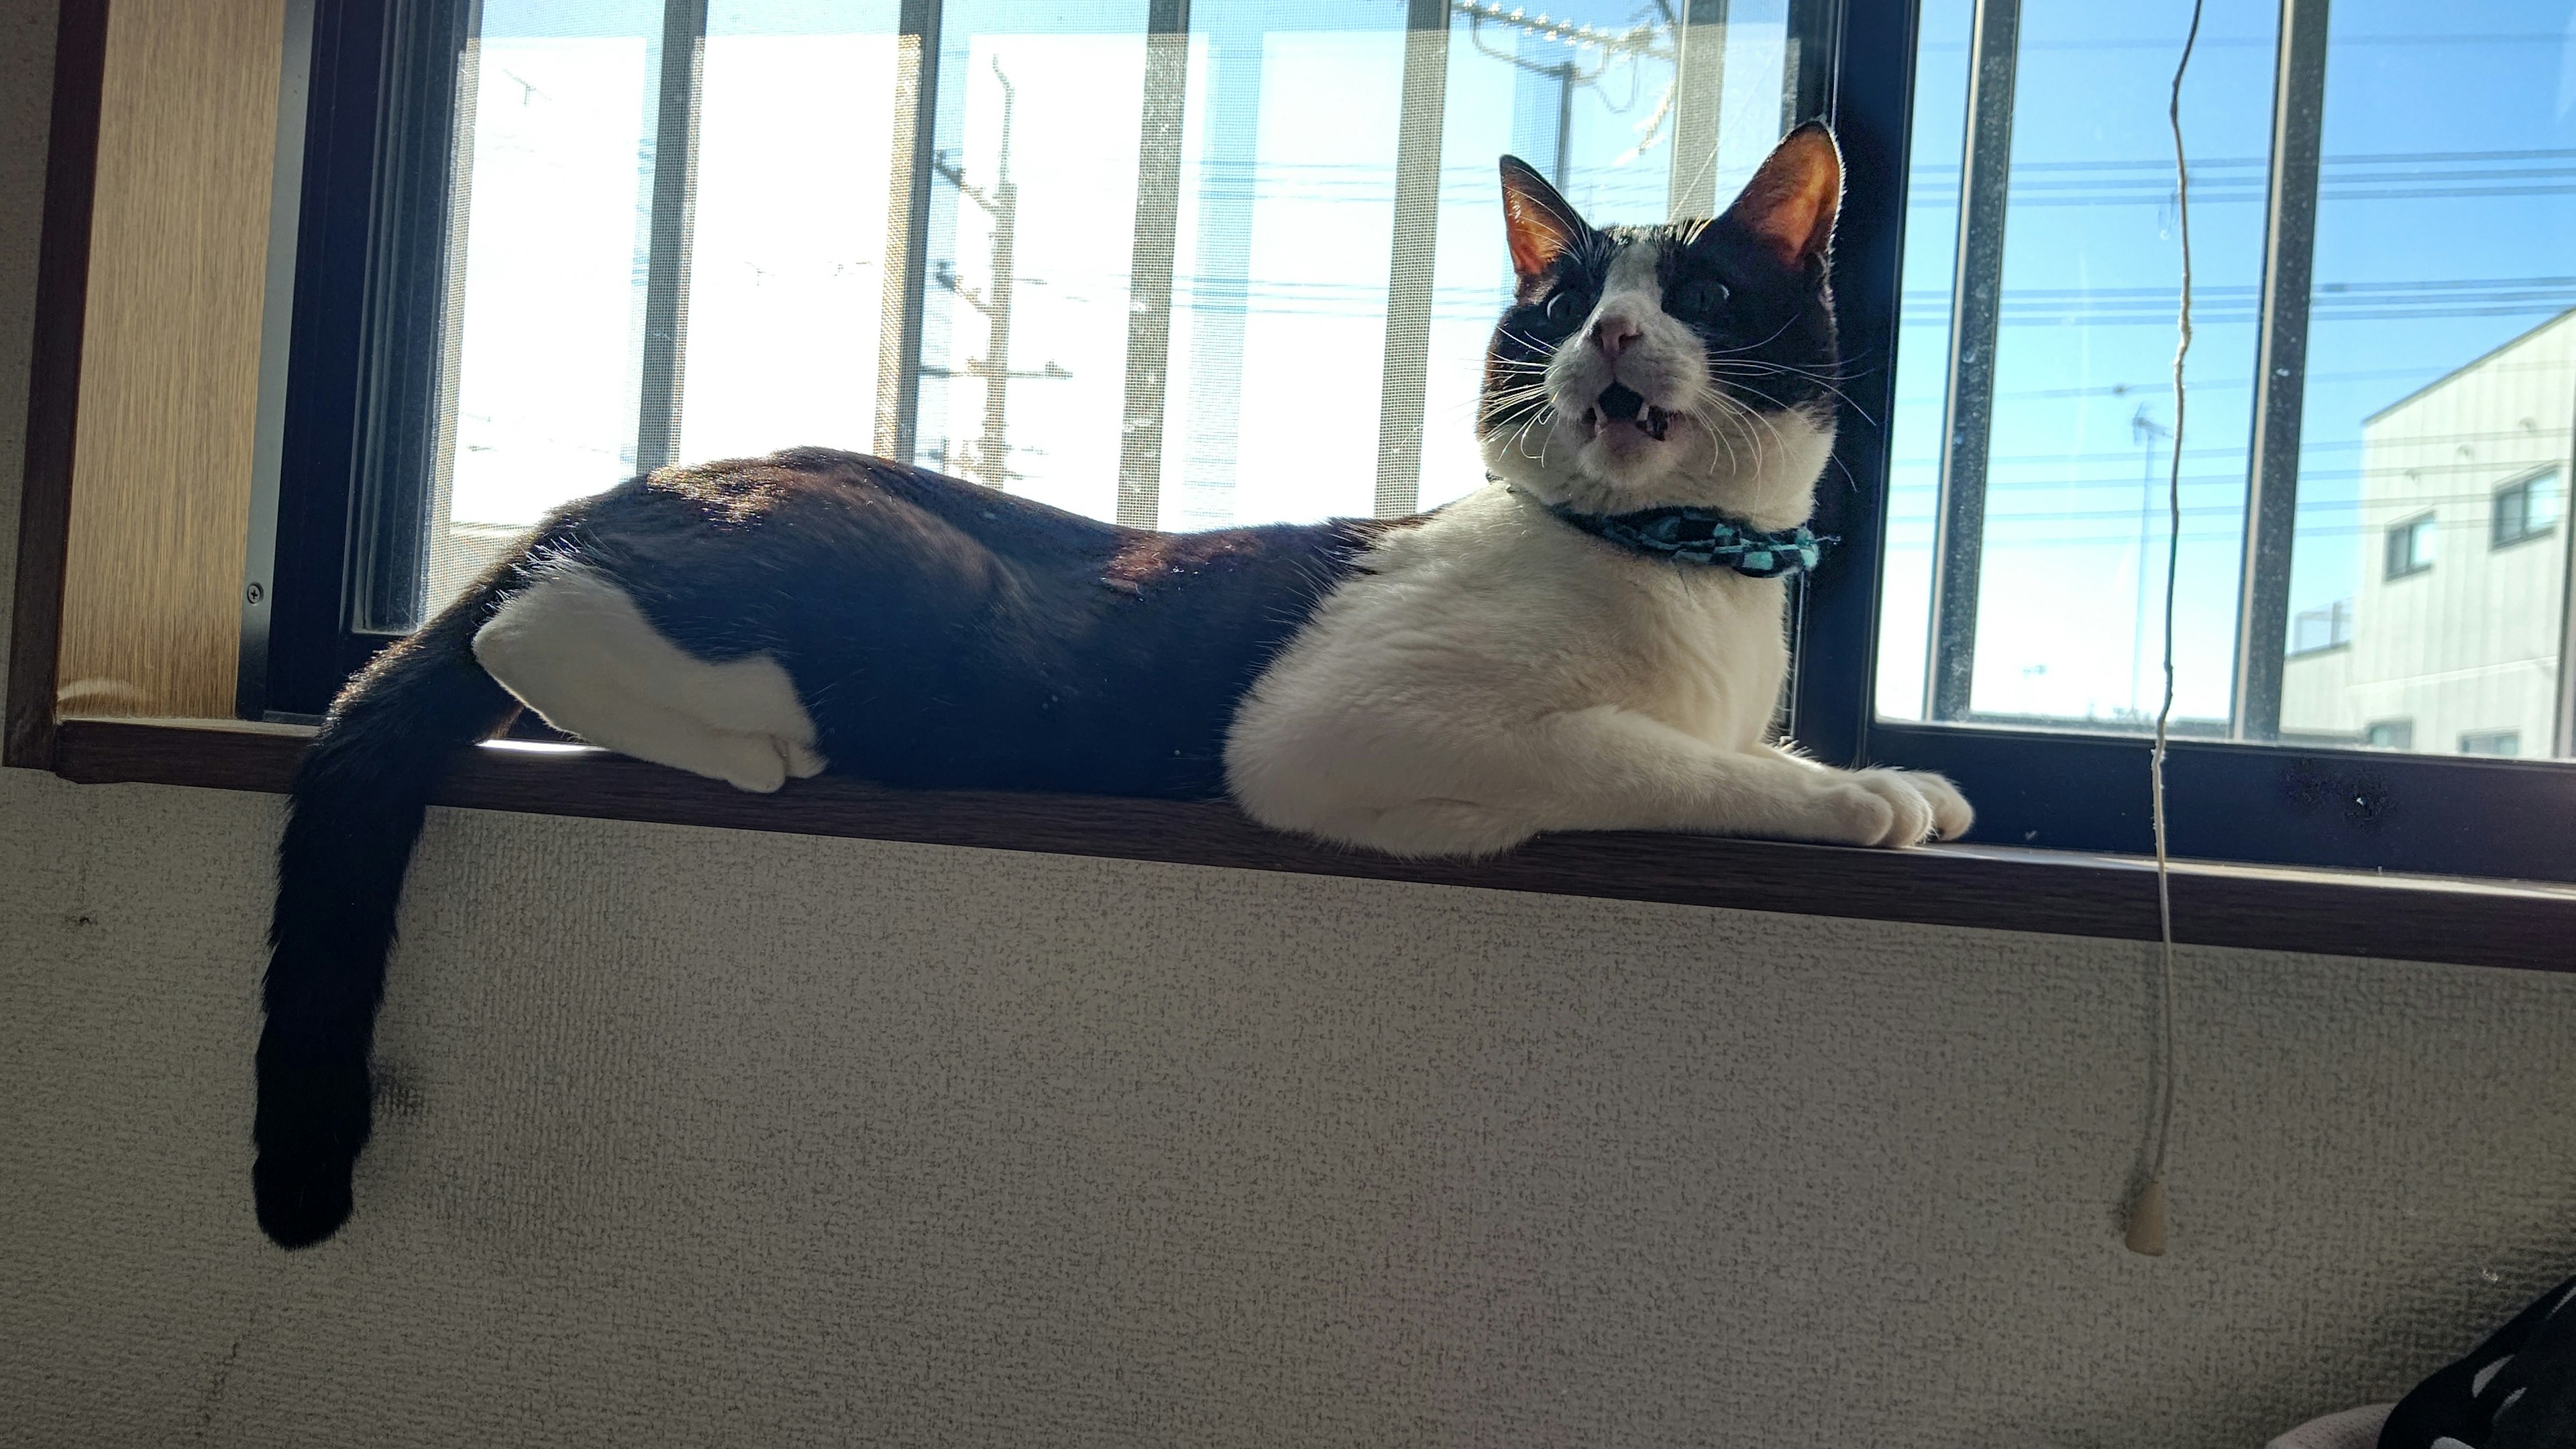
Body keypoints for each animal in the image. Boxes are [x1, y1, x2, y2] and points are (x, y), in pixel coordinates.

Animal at [251, 123, 1968, 1248]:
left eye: (1702, 298)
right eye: (1555, 305)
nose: (1603, 330)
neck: (1678, 567)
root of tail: (658, 471)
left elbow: (1724, 742)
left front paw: (1890, 774)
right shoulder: (1342, 731)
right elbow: (1638, 752)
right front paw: (1865, 798)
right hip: (879, 574)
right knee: (518, 632)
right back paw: (750, 742)